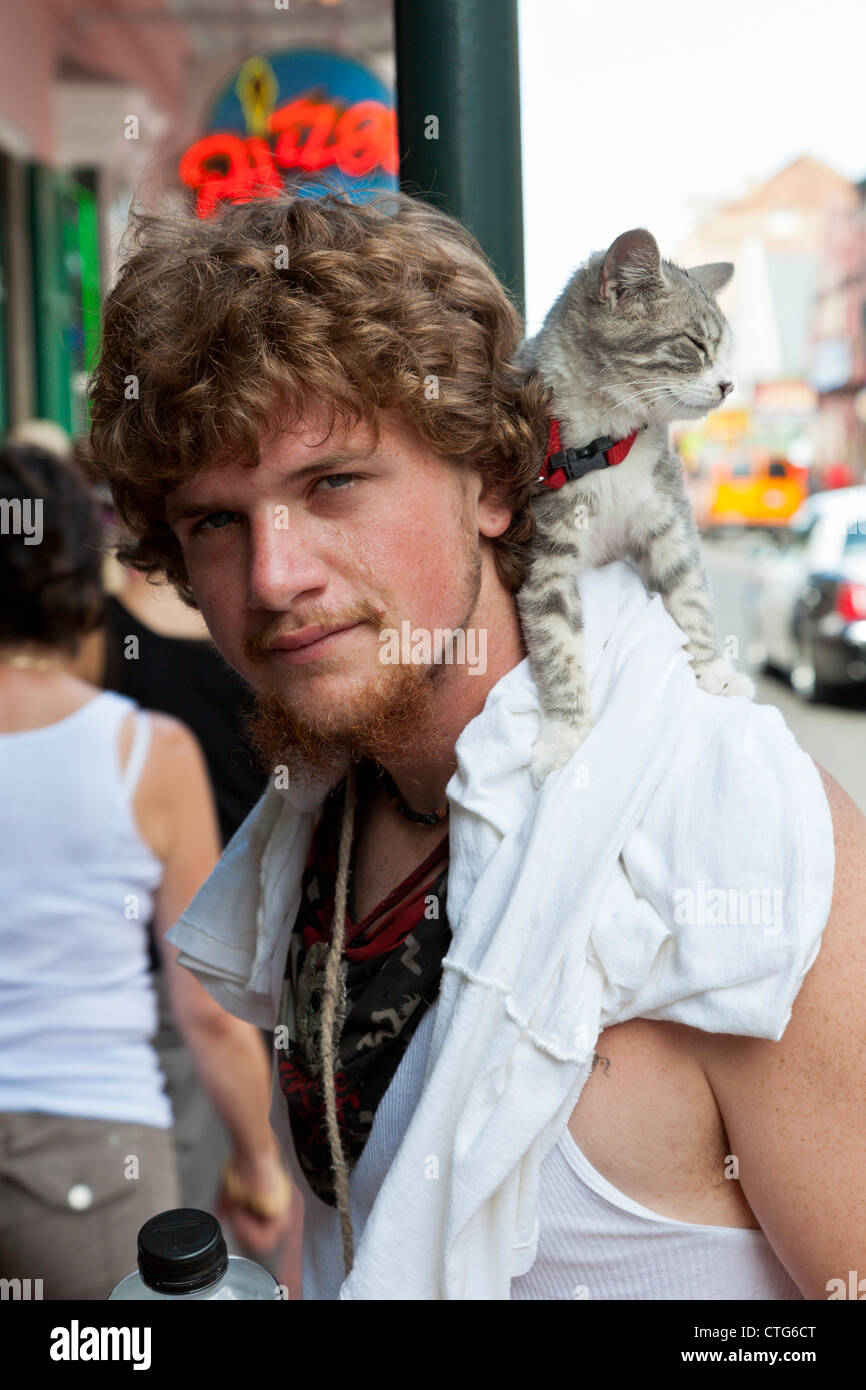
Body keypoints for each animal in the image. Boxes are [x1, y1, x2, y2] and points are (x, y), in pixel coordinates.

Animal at [517, 233, 756, 789]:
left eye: (724, 350)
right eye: (695, 344)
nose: (729, 384)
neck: (606, 444)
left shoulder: (668, 515)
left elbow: (689, 593)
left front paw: (714, 670)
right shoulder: (544, 555)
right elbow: (556, 644)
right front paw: (565, 739)